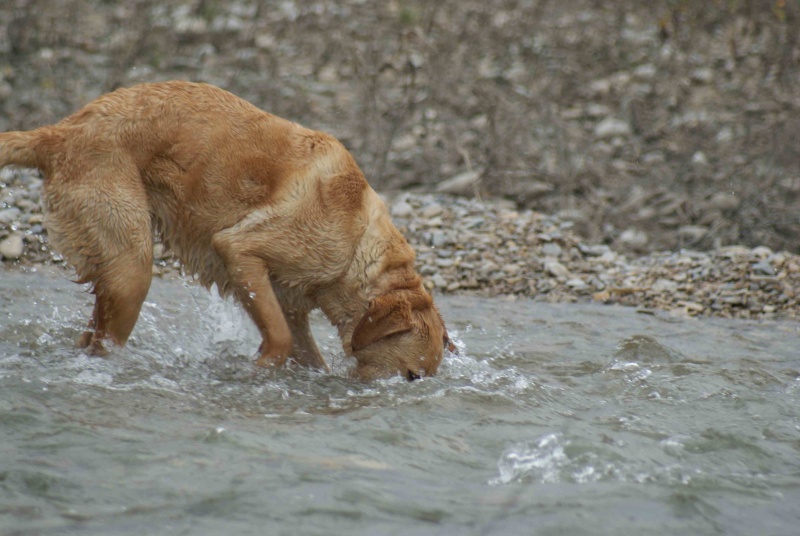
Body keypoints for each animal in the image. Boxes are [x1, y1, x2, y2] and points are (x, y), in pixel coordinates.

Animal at [0, 80, 454, 382]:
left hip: (115, 268)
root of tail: (59, 132)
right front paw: (258, 370)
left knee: (91, 331)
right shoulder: (240, 250)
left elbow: (303, 349)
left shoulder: (288, 302)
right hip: (132, 266)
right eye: (412, 375)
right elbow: (279, 338)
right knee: (104, 341)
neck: (358, 243)